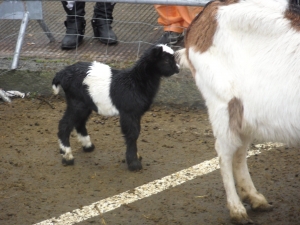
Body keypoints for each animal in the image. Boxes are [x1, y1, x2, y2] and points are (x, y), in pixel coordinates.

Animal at [51, 44, 179, 171]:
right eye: (166, 60)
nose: (177, 69)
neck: (135, 82)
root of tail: (61, 73)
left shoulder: (136, 113)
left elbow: (136, 132)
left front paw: (136, 156)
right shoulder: (128, 112)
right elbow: (132, 134)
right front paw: (134, 163)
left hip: (85, 104)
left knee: (79, 122)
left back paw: (88, 146)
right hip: (76, 102)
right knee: (64, 125)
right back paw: (67, 157)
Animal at [176, 0, 300, 224]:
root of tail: (205, 13)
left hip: (245, 111)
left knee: (240, 150)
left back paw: (254, 198)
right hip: (222, 103)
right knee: (224, 152)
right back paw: (237, 209)